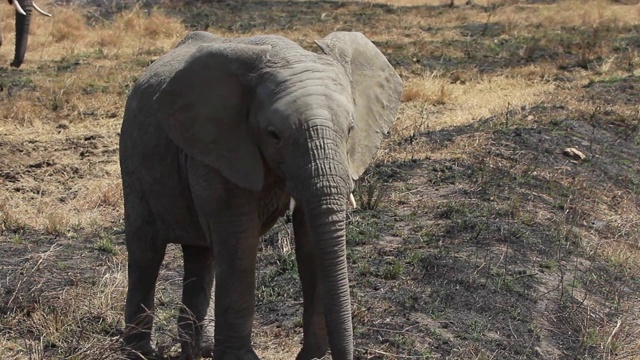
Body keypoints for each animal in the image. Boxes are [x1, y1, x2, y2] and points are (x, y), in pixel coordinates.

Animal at [118, 31, 402, 360]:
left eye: (350, 129)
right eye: (273, 135)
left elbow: (310, 240)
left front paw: (311, 356)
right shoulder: (220, 148)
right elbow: (239, 242)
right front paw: (240, 358)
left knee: (202, 254)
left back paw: (199, 350)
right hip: (134, 159)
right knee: (146, 252)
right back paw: (142, 352)